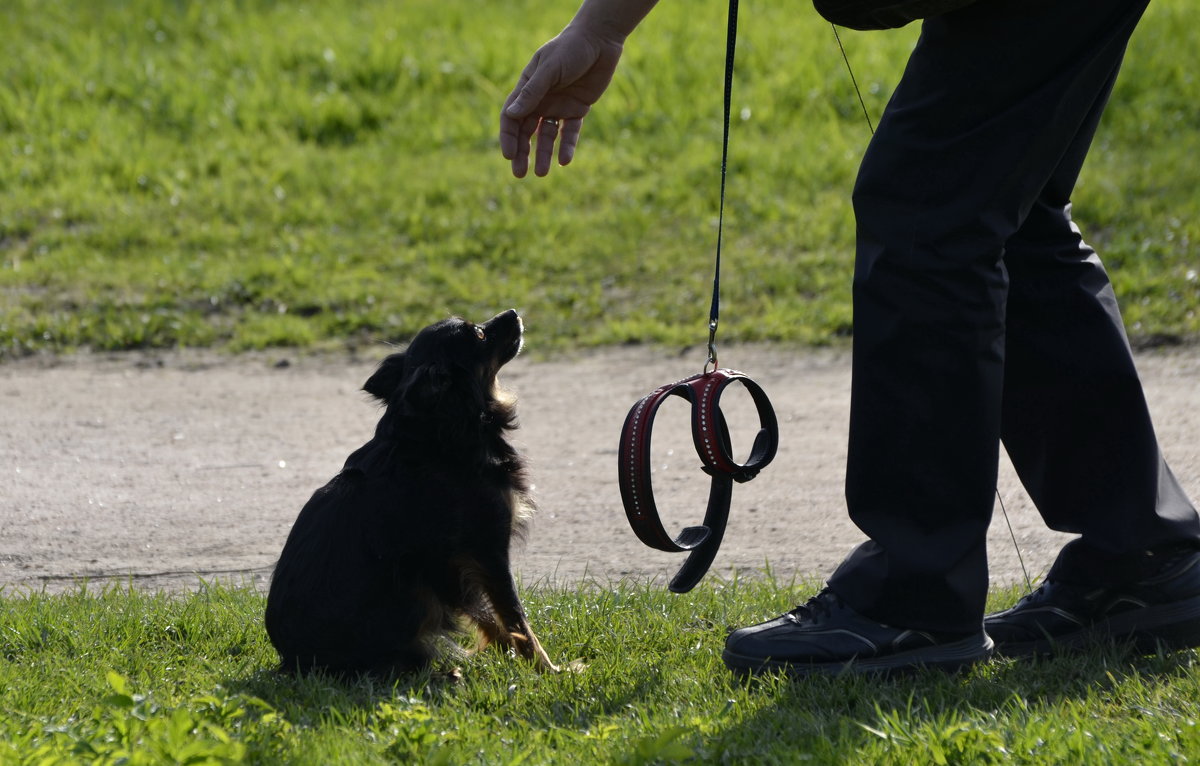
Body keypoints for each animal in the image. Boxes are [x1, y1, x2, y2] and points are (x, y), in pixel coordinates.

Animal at [265, 312, 559, 677]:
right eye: (479, 334)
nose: (513, 313)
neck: (444, 430)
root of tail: (294, 664)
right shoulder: (485, 550)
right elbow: (516, 619)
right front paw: (549, 670)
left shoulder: (450, 566)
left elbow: (487, 617)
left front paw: (510, 656)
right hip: (410, 587)